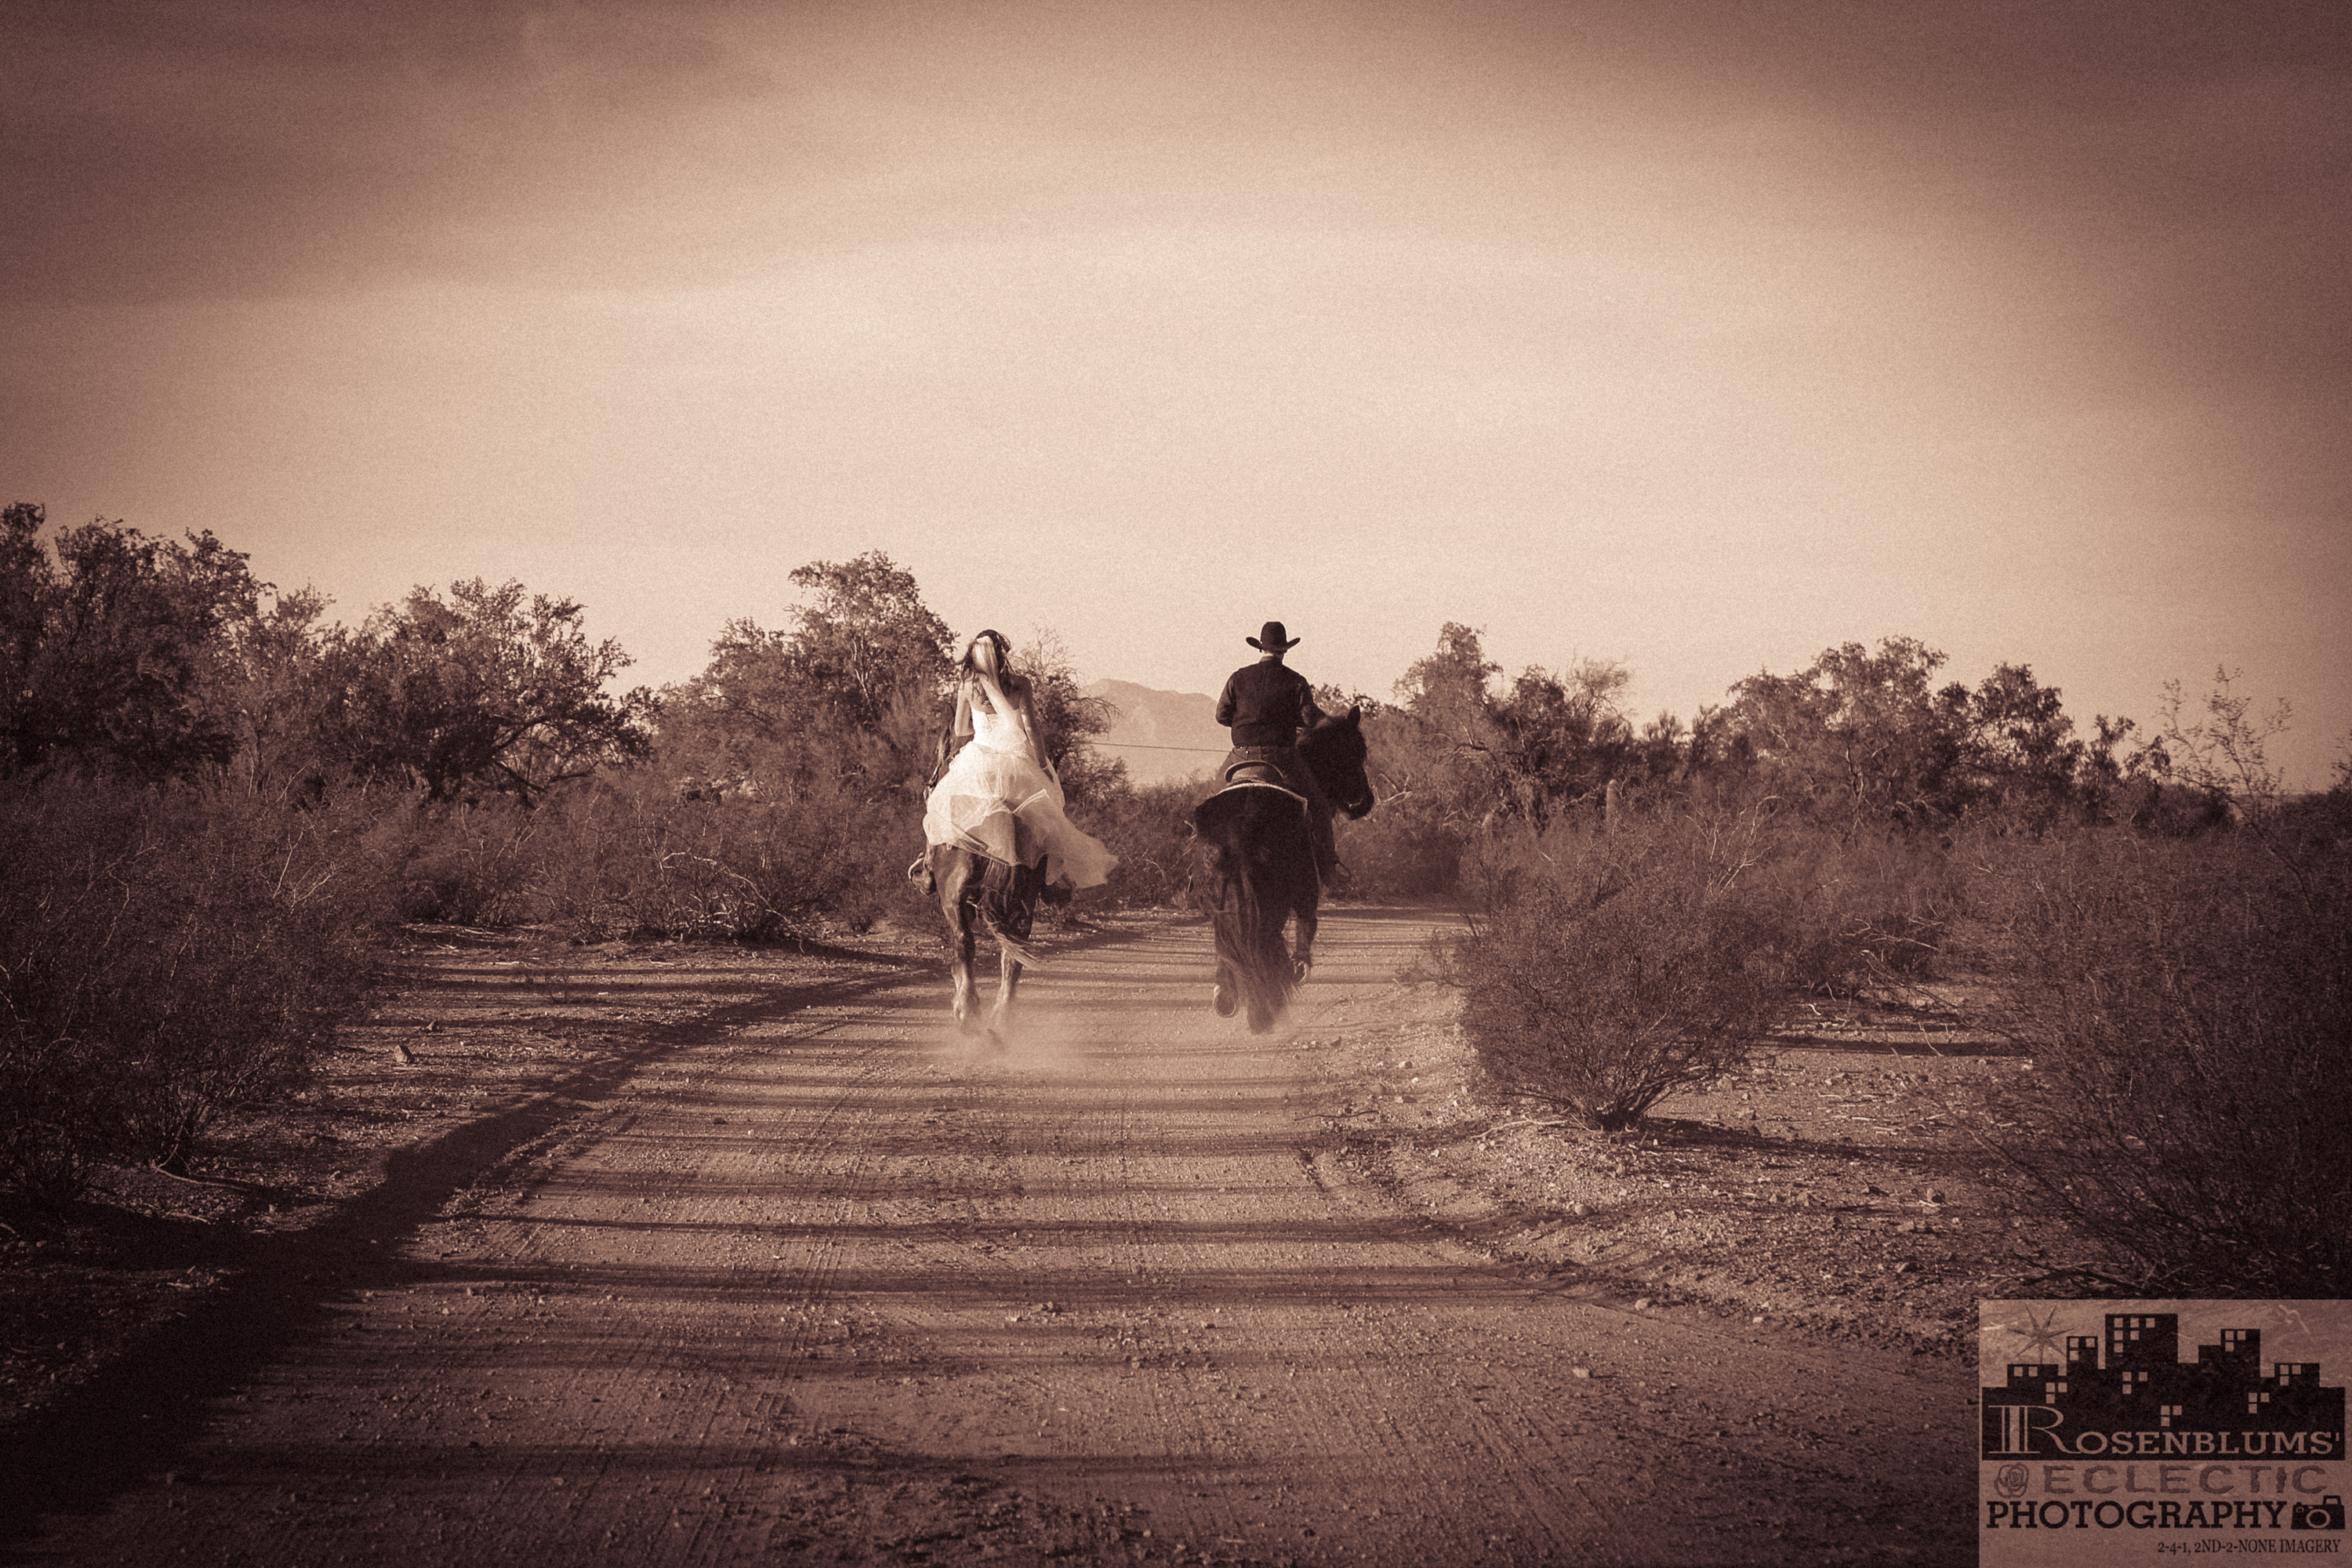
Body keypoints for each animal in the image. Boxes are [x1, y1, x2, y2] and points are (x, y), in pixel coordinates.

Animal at [925, 835, 1050, 1038]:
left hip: (953, 898)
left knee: (965, 942)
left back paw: (968, 1012)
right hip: (1023, 904)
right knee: (1012, 958)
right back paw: (1001, 1018)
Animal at [1192, 707, 1374, 1032]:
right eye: (1358, 750)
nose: (1364, 801)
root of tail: (1243, 819)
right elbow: (1306, 920)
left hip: (1221, 901)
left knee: (1229, 943)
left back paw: (1229, 997)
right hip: (1280, 893)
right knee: (1273, 934)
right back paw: (1272, 999)